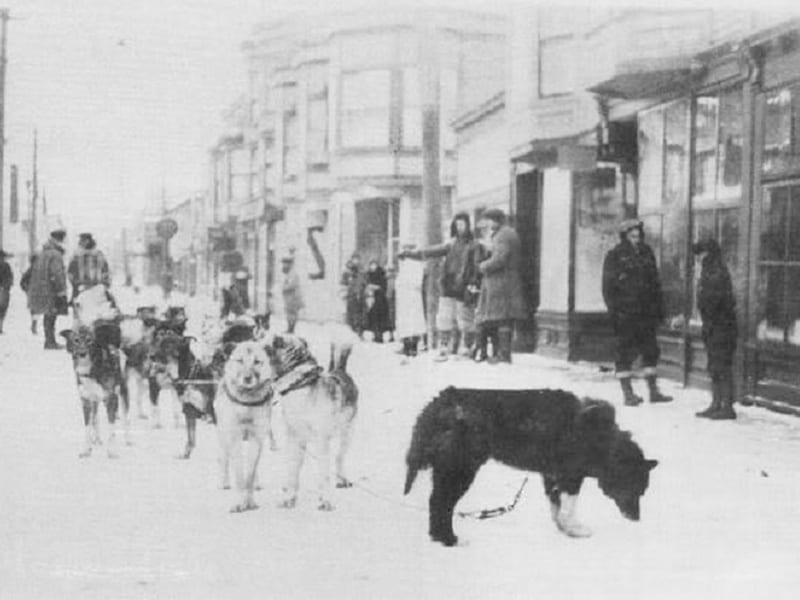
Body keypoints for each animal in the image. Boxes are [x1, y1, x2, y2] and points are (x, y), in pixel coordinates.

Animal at [404, 386, 660, 548]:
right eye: (637, 489)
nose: (636, 519)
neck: (602, 440)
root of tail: (441, 400)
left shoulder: (552, 476)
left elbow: (556, 508)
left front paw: (565, 529)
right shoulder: (570, 477)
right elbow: (568, 507)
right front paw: (574, 528)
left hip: (448, 471)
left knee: (436, 504)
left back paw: (439, 538)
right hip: (460, 471)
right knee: (441, 504)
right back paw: (449, 540)